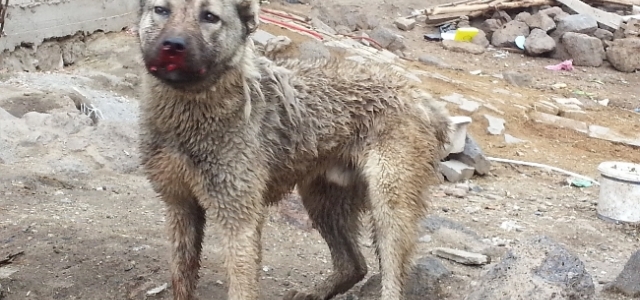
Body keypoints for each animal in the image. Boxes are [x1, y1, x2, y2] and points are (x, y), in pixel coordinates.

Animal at [138, 0, 452, 298]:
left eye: (210, 17)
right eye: (162, 10)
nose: (173, 46)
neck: (190, 110)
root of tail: (425, 99)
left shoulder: (239, 218)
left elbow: (241, 288)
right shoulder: (180, 206)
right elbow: (181, 279)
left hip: (388, 208)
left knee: (390, 278)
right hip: (322, 201)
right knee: (355, 265)